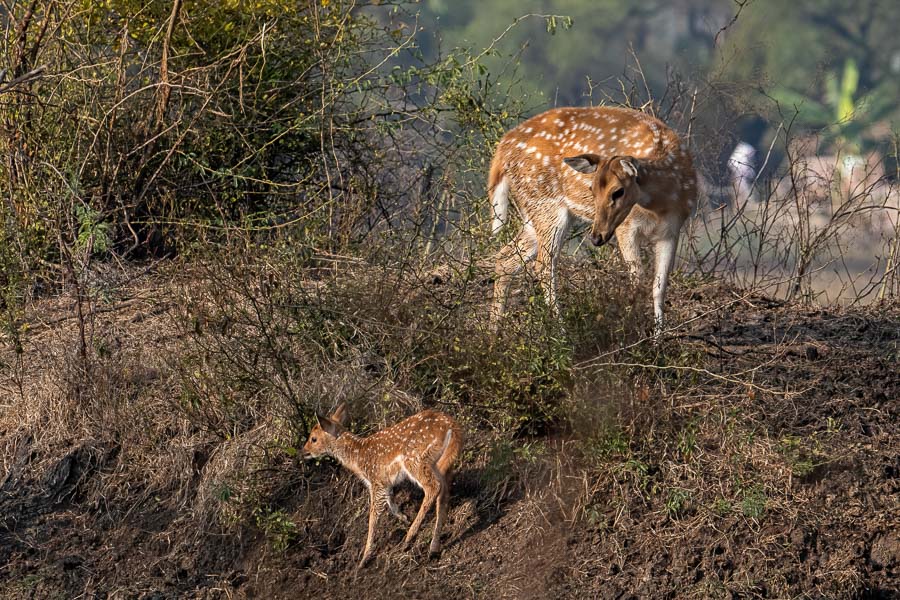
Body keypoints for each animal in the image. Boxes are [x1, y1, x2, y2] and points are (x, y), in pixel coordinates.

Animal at [306, 406, 464, 568]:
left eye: (313, 438)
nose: (304, 451)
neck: (357, 460)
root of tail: (452, 426)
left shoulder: (375, 480)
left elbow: (373, 516)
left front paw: (364, 559)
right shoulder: (384, 483)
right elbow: (391, 502)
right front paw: (404, 517)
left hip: (416, 459)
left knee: (434, 487)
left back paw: (409, 538)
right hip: (440, 463)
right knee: (444, 492)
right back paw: (433, 548)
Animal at [492, 105, 696, 336]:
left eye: (618, 191)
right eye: (592, 189)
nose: (596, 237)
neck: (660, 203)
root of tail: (502, 148)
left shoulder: (672, 229)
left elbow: (659, 287)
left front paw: (658, 337)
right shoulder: (626, 227)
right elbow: (638, 279)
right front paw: (631, 328)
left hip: (532, 212)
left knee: (505, 258)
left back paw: (493, 332)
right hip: (546, 204)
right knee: (543, 265)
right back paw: (562, 332)